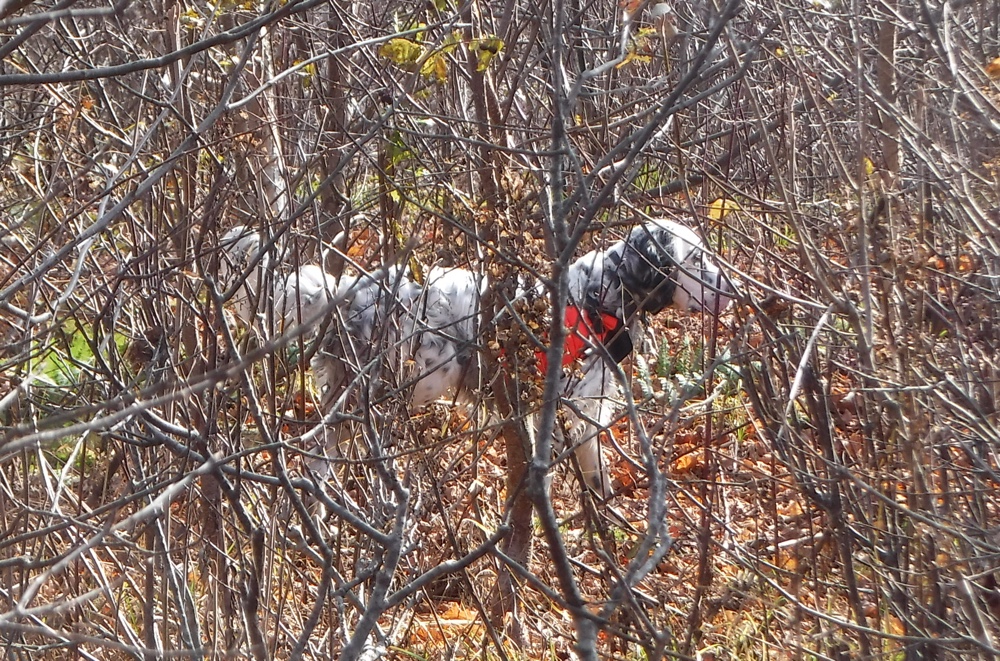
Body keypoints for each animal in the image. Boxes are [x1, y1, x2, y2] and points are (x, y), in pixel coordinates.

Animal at [221, 219, 736, 498]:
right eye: (696, 259)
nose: (733, 289)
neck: (599, 295)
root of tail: (345, 290)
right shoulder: (568, 410)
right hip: (403, 384)